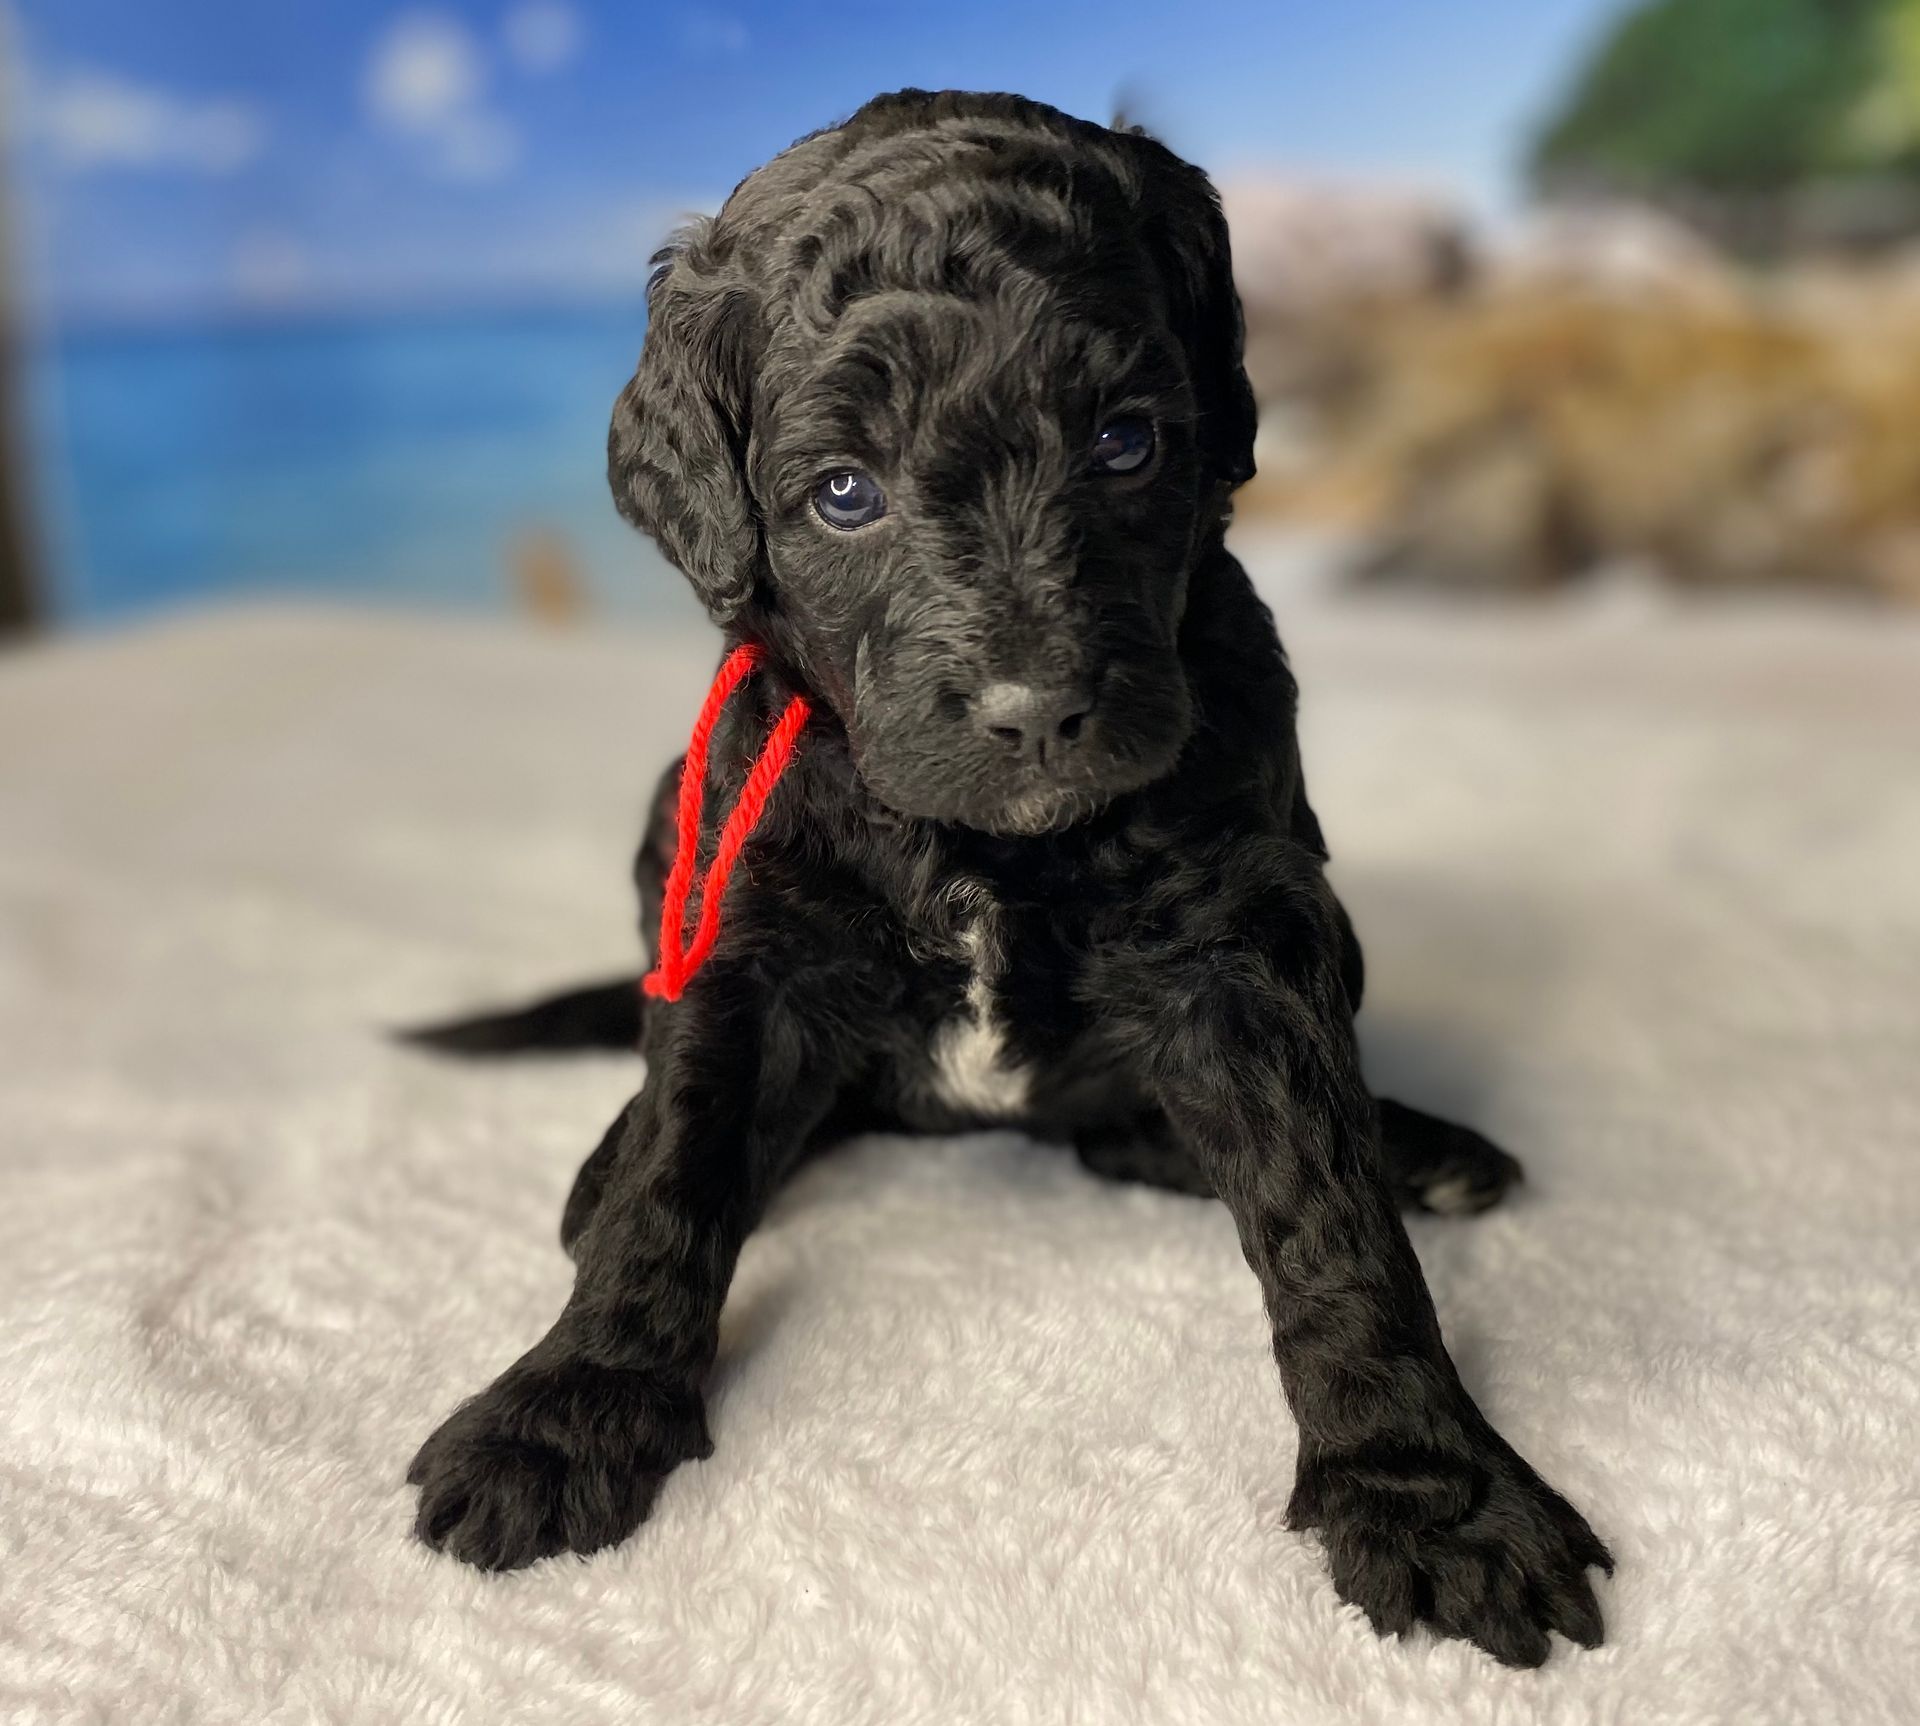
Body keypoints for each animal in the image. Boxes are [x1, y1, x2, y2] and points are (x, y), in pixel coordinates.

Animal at [412, 87, 1612, 1666]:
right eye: (842, 494)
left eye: (1124, 442)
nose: (1037, 710)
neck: (983, 840)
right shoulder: (742, 924)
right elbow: (679, 1169)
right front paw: (568, 1412)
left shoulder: (1241, 935)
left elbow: (1326, 1209)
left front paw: (1427, 1486)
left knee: (1150, 1135)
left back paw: (1412, 1147)